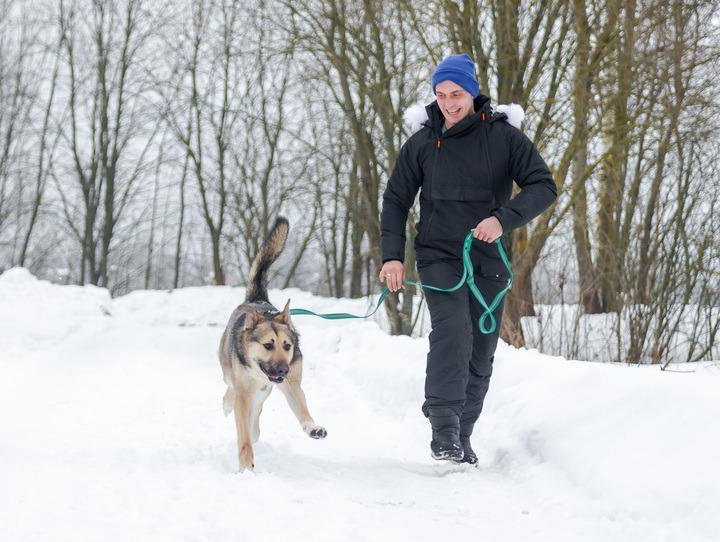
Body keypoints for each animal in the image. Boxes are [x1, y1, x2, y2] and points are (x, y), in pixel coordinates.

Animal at [215, 217, 324, 472]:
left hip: (266, 390)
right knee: (231, 390)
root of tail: (257, 300)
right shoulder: (244, 392)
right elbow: (244, 437)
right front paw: (246, 467)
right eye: (268, 345)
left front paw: (312, 427)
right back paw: (227, 404)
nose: (283, 369)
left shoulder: (291, 384)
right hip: (229, 371)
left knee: (256, 416)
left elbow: (302, 408)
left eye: (287, 346)